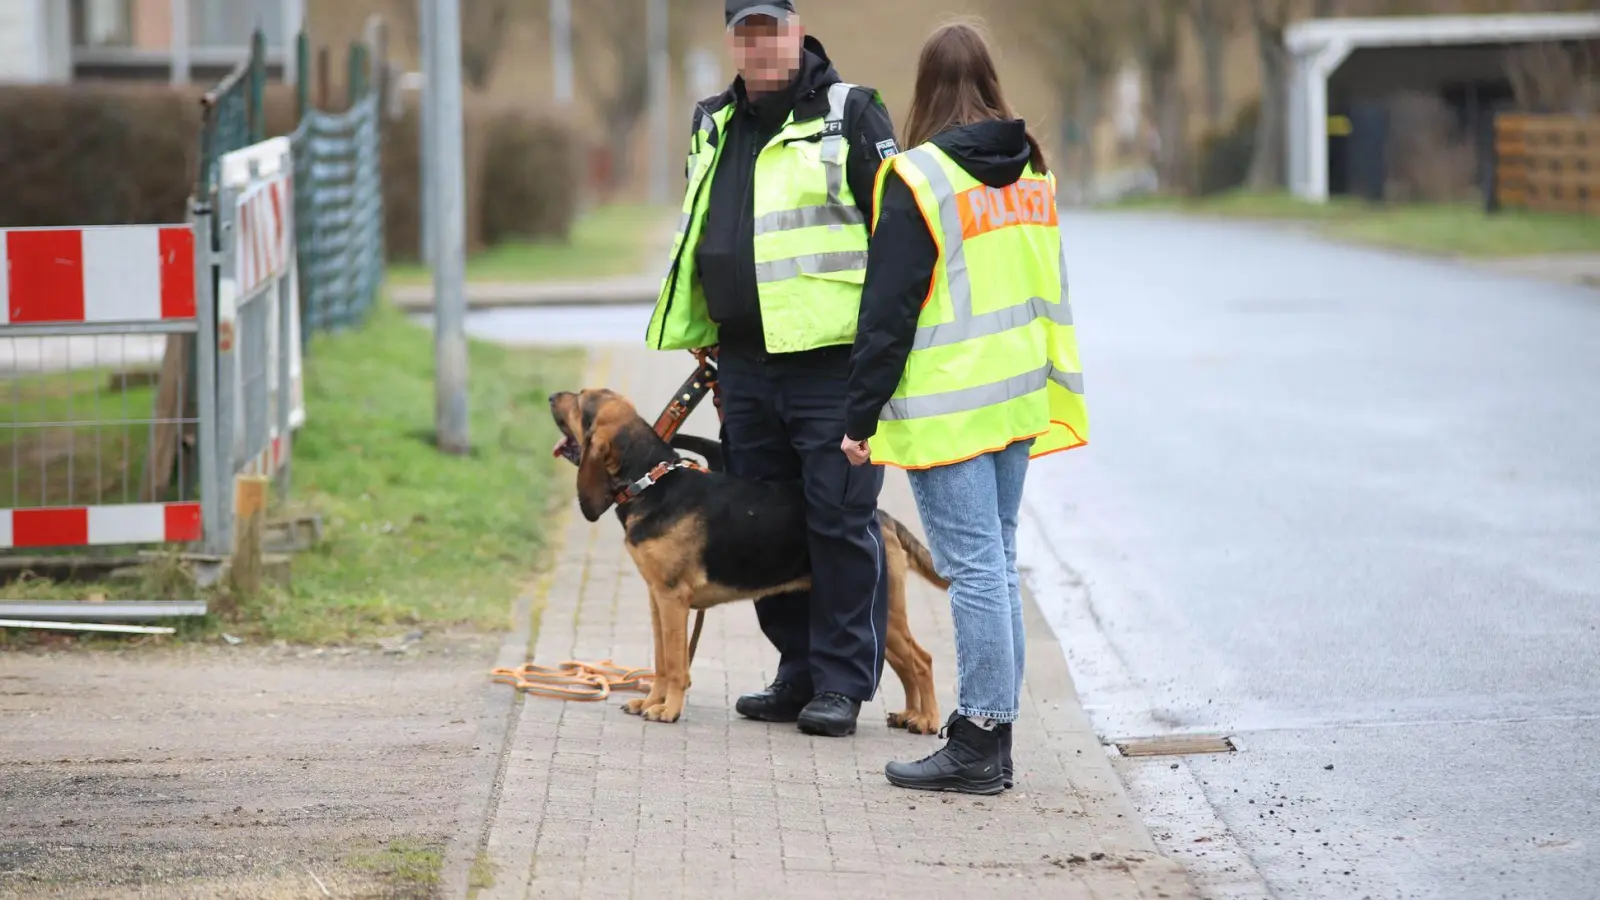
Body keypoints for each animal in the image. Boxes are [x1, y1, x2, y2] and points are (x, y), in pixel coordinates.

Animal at [553, 385, 940, 730]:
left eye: (581, 401)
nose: (553, 396)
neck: (652, 481)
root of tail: (884, 518)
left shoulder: (673, 599)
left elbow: (677, 665)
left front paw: (668, 710)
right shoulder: (657, 599)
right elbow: (662, 662)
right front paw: (650, 702)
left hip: (880, 609)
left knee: (922, 660)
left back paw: (927, 720)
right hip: (884, 621)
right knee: (906, 664)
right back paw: (908, 715)